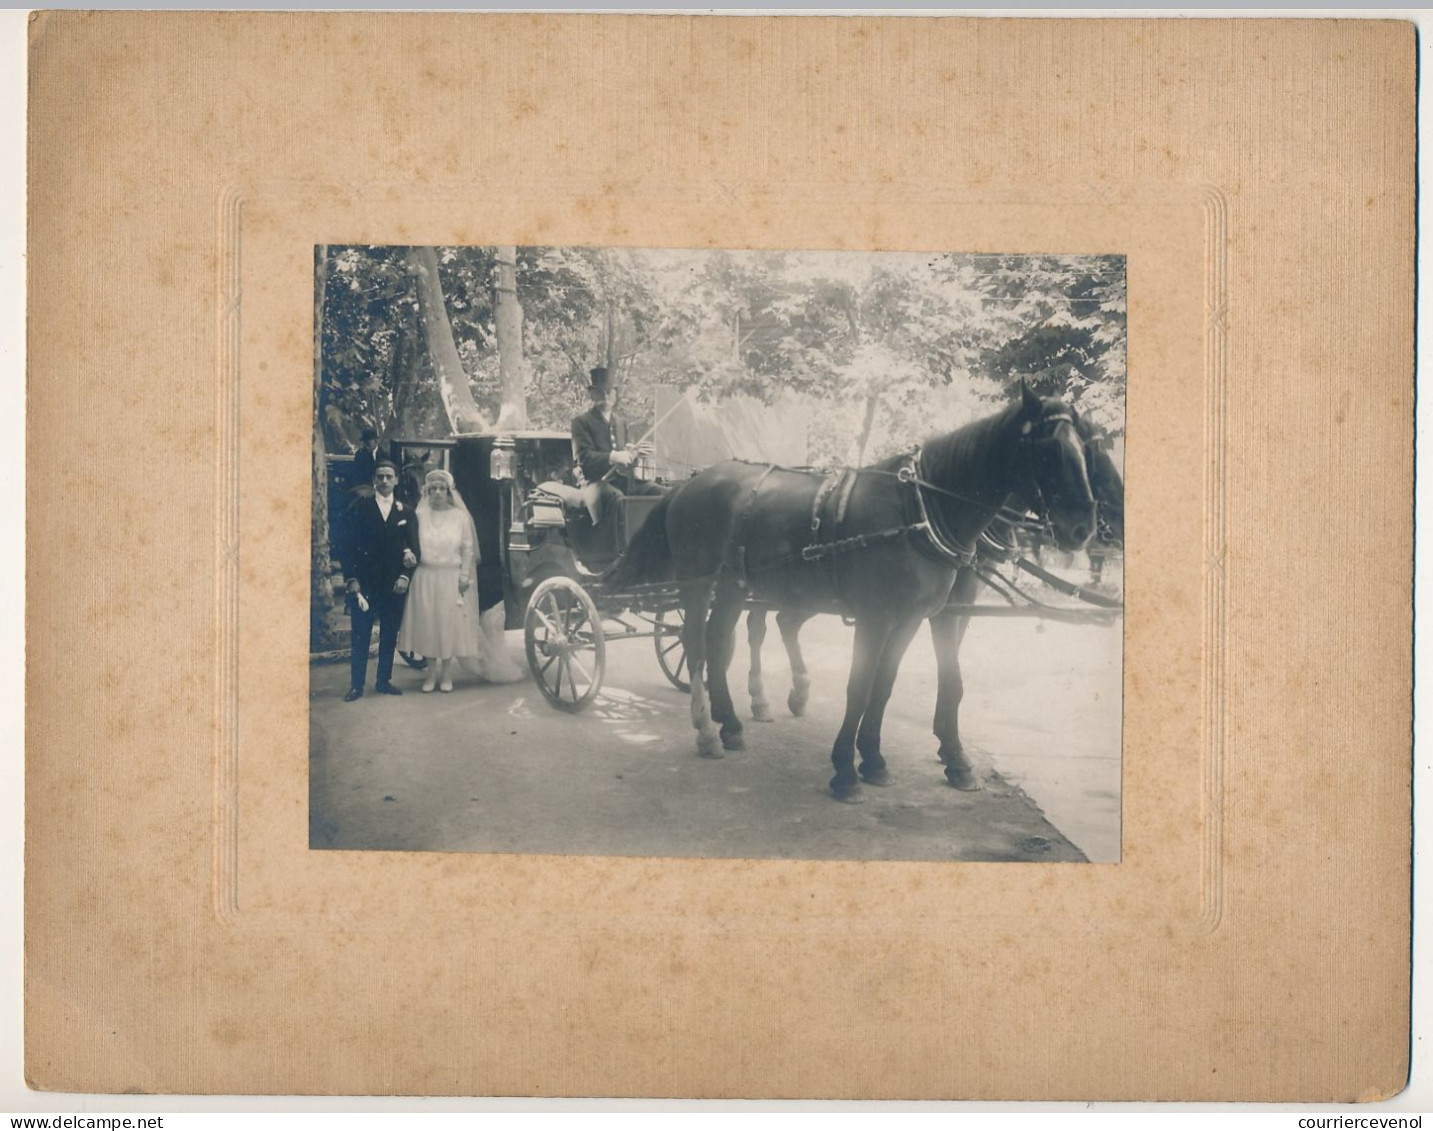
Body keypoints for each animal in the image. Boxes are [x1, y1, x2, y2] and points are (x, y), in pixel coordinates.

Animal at [607, 387, 1094, 802]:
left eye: (1083, 448)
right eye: (1049, 450)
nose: (1083, 528)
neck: (918, 511)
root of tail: (689, 483)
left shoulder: (910, 620)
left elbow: (887, 685)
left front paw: (875, 760)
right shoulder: (877, 619)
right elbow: (859, 688)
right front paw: (845, 770)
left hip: (731, 586)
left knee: (721, 642)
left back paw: (731, 724)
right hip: (697, 582)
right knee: (696, 643)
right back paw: (707, 729)